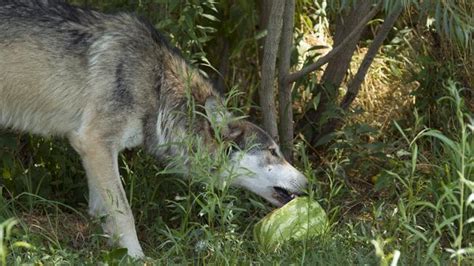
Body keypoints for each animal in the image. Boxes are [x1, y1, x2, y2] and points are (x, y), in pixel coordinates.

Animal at [0, 0, 310, 258]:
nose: (309, 183)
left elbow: (102, 211)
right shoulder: (94, 143)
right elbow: (124, 212)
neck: (158, 85)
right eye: (273, 152)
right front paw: (137, 257)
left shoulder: (94, 152)